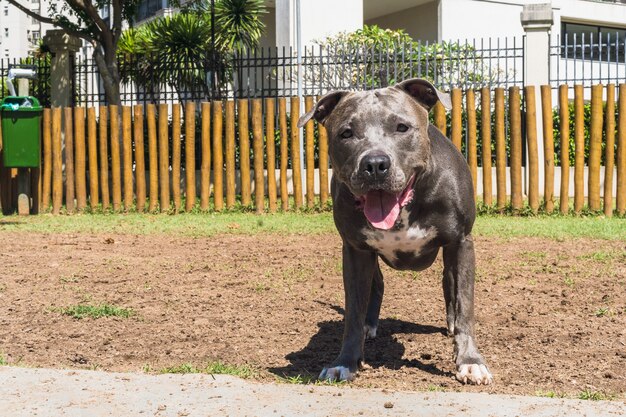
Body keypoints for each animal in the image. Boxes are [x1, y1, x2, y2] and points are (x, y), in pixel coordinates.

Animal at [298, 77, 492, 384]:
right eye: (346, 133)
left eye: (402, 127)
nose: (375, 164)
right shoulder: (355, 250)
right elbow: (353, 311)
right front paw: (345, 362)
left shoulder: (461, 242)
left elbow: (465, 305)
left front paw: (470, 361)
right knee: (376, 285)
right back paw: (369, 324)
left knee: (449, 285)